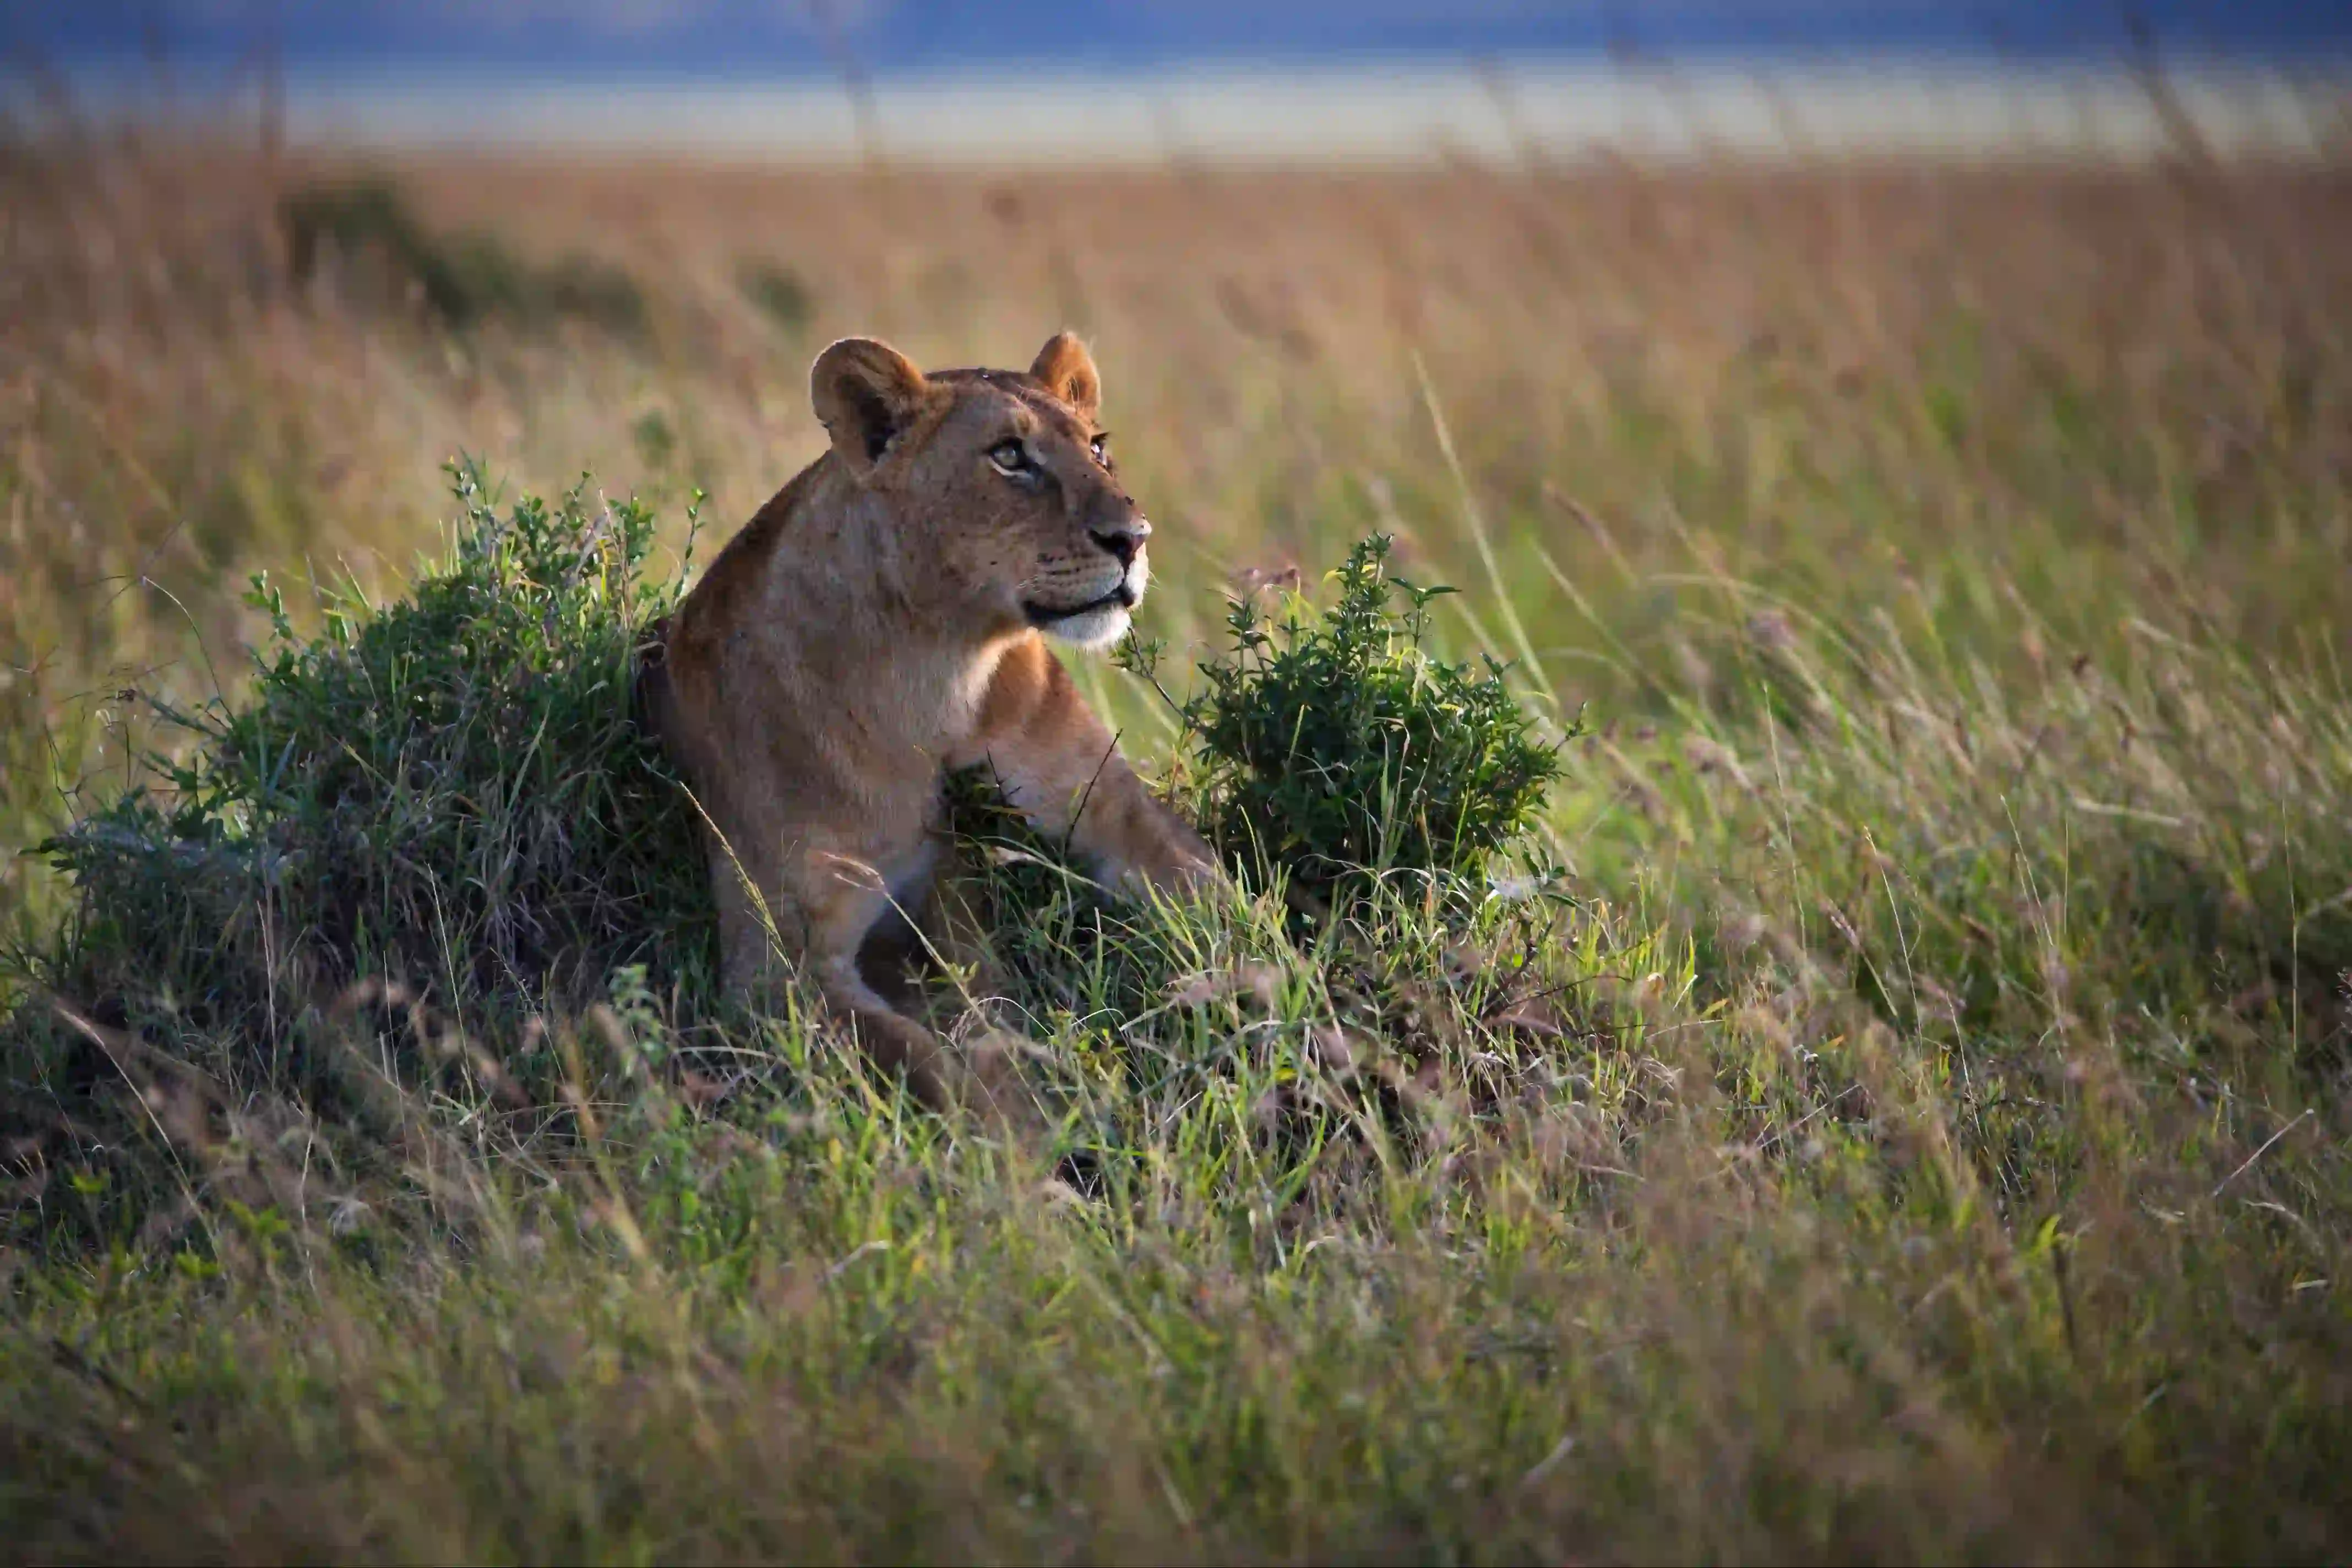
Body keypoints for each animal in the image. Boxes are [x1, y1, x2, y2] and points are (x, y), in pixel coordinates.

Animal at [641, 331, 1219, 1114]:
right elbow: (925, 1059)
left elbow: (1231, 908)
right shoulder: (772, 971)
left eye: (1099, 449)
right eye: (1009, 455)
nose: (1133, 537)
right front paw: (1023, 1132)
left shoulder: (1114, 811)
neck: (939, 675)